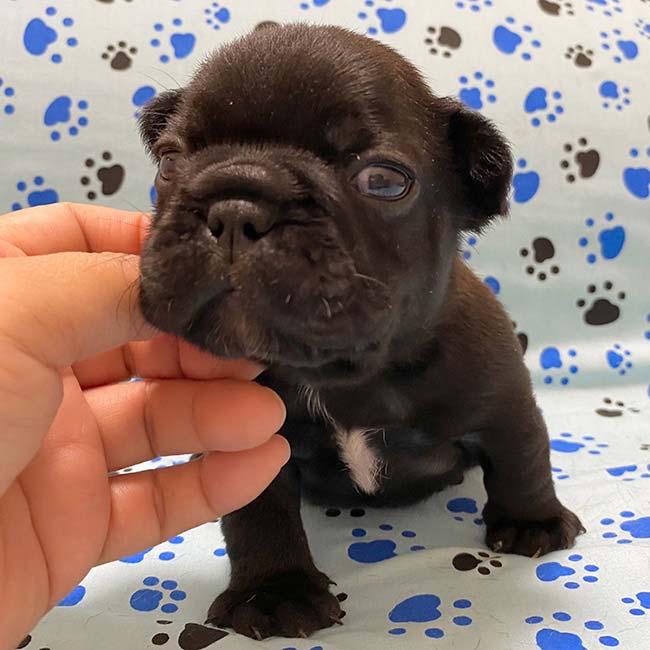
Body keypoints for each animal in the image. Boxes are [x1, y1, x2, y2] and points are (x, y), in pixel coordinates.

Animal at [138, 23, 584, 640]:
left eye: (385, 181)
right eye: (169, 161)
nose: (235, 207)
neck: (344, 374)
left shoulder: (503, 399)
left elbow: (523, 456)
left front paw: (531, 522)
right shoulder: (250, 445)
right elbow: (258, 515)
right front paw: (274, 591)